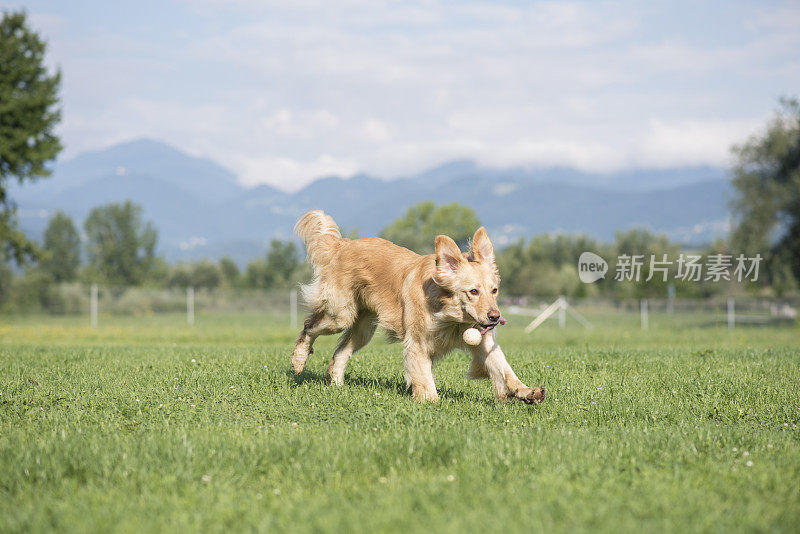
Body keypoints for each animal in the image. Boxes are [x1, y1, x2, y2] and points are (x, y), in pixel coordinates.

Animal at [290, 210, 548, 406]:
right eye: (473, 291)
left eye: (494, 290)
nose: (495, 316)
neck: (451, 317)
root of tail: (343, 245)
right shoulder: (417, 344)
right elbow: (424, 378)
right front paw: (431, 402)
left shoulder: (483, 342)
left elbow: (504, 370)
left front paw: (527, 391)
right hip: (340, 315)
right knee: (308, 326)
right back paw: (299, 361)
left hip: (363, 327)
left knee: (340, 353)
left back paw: (337, 385)